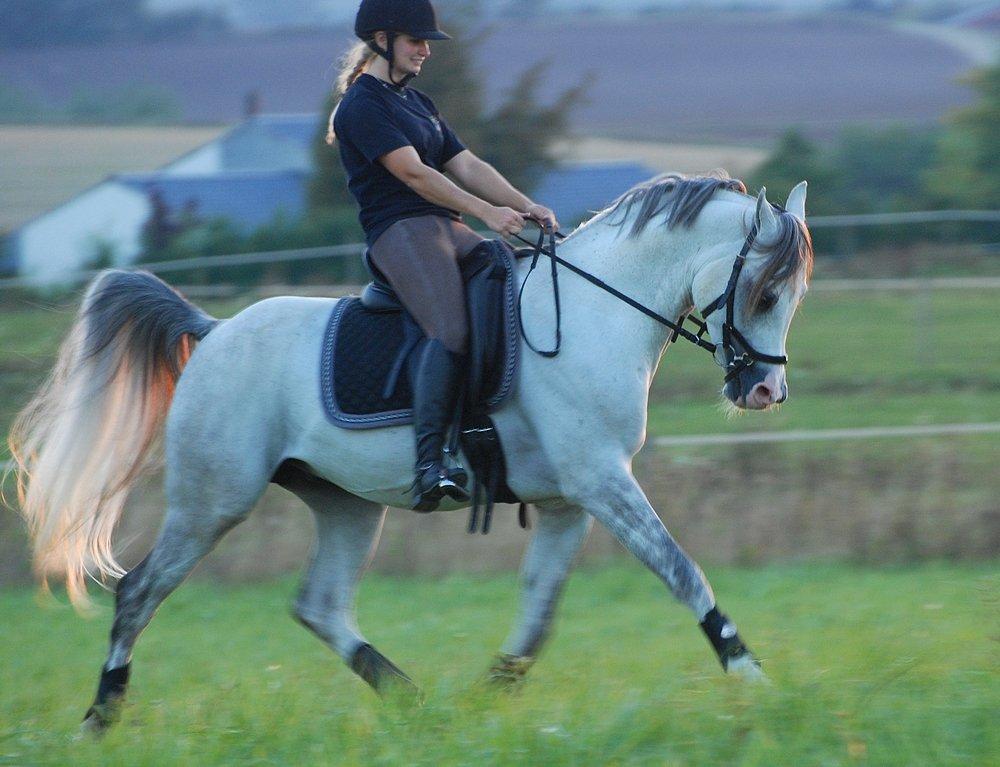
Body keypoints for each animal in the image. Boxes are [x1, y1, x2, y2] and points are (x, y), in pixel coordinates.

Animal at [11, 172, 812, 732]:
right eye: (765, 293)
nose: (766, 390)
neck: (595, 314)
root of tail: (213, 332)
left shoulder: (568, 502)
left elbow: (538, 614)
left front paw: (488, 700)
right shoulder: (601, 482)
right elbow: (682, 571)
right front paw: (752, 678)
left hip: (345, 505)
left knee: (320, 605)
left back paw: (413, 700)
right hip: (213, 502)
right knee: (138, 593)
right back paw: (100, 719)